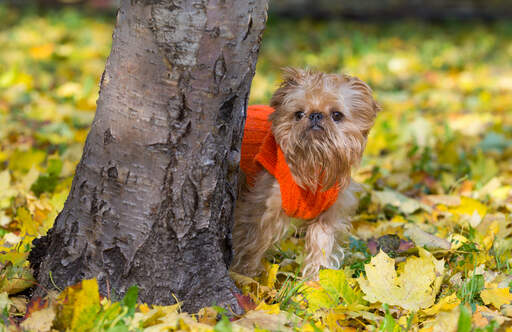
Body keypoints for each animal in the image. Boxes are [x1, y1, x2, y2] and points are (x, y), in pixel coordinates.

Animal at [232, 67, 380, 278]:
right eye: (299, 114)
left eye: (337, 115)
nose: (316, 115)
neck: (314, 164)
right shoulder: (260, 210)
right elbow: (251, 243)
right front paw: (245, 275)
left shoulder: (329, 216)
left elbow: (322, 245)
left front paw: (317, 279)